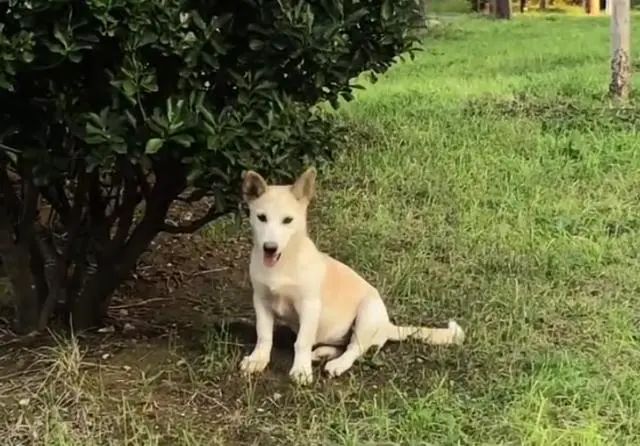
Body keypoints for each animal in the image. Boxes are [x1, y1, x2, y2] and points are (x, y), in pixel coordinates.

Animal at [240, 167, 464, 384]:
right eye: (261, 217)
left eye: (287, 220)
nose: (270, 248)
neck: (283, 263)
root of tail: (387, 326)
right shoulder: (261, 300)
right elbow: (264, 335)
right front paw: (257, 360)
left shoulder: (310, 305)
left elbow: (302, 340)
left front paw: (301, 371)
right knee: (342, 345)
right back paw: (320, 354)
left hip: (367, 313)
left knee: (355, 348)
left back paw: (337, 364)